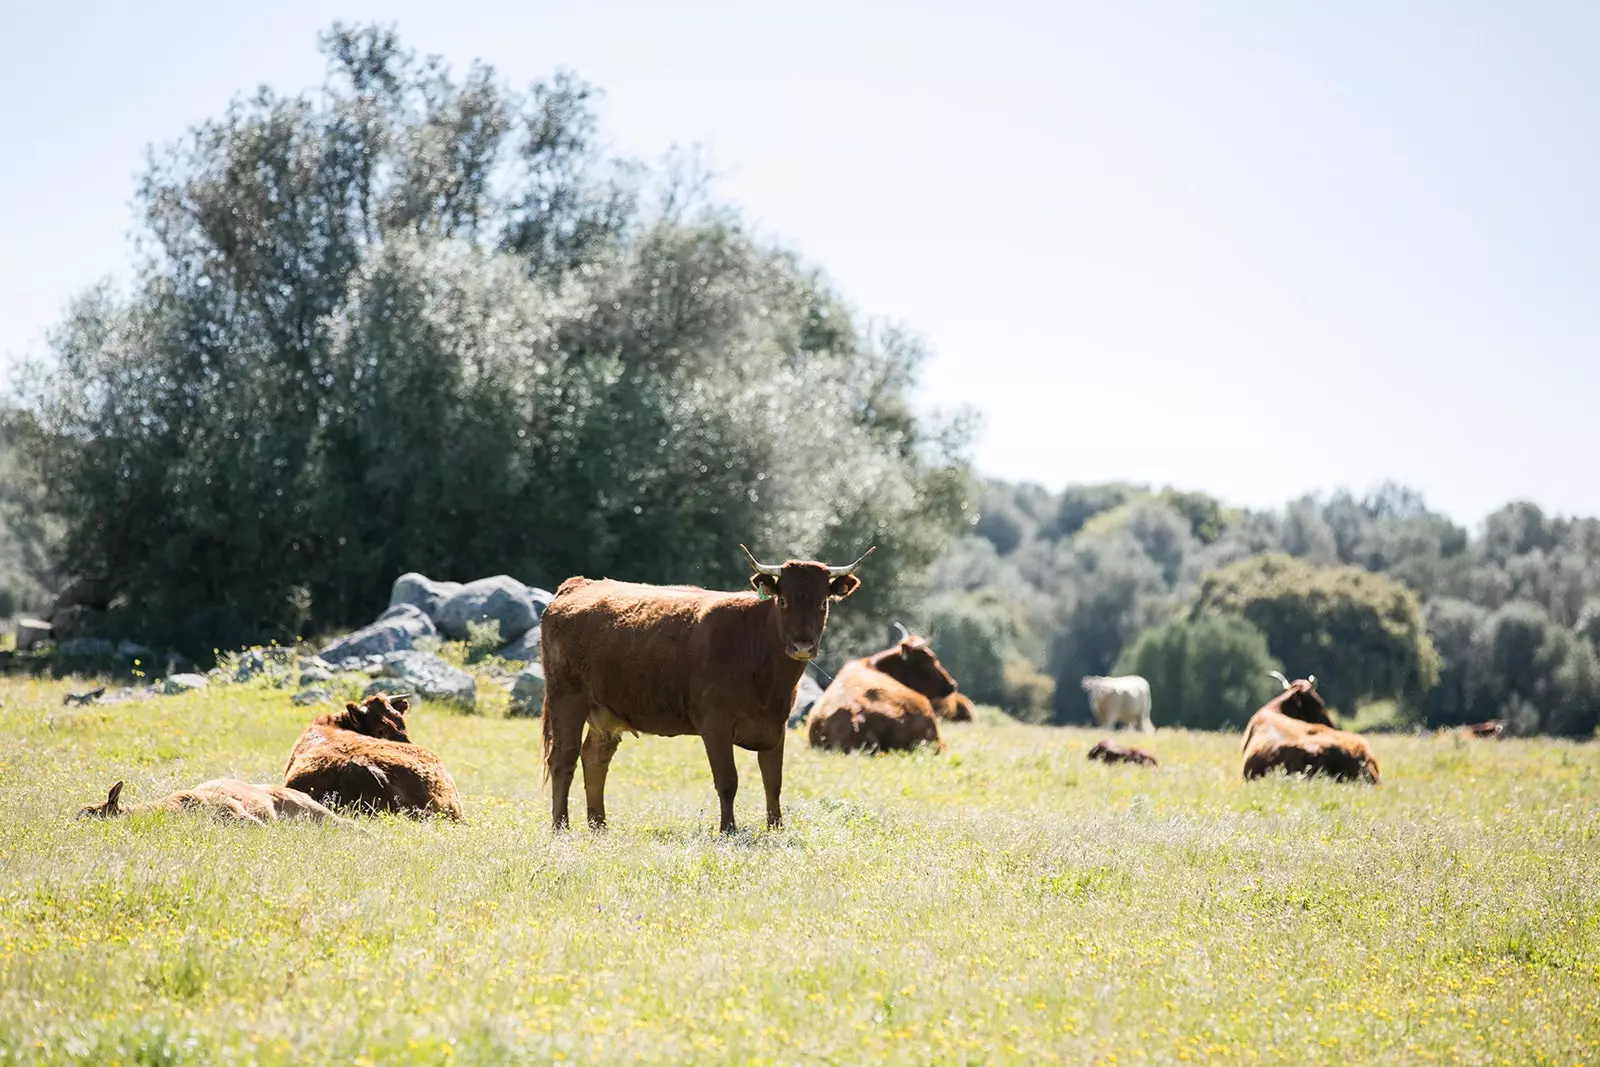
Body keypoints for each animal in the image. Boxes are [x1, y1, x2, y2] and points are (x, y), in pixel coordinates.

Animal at [540, 543, 876, 831]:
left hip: (605, 712)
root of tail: (579, 585)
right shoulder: (715, 724)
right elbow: (727, 780)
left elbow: (773, 781)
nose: (803, 645)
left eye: (823, 603)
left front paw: (776, 828)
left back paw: (599, 826)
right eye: (783, 601)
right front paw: (728, 829)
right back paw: (561, 827)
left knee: (595, 760)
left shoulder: (776, 726)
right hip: (567, 699)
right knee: (563, 759)